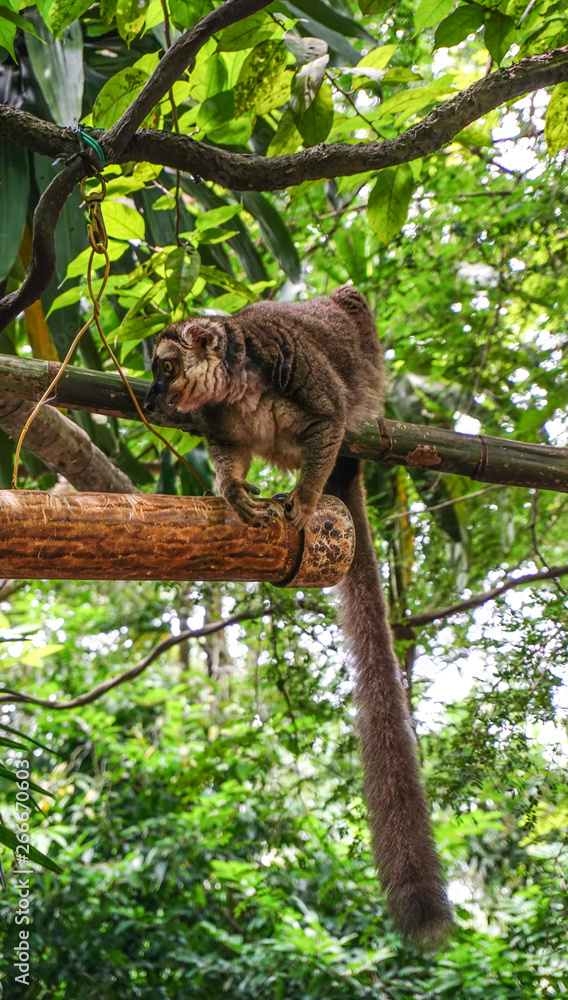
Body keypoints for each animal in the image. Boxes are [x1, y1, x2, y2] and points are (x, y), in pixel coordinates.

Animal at [144, 286, 454, 946]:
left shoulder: (298, 371)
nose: (152, 401)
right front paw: (234, 495)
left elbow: (328, 420)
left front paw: (307, 503)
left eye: (165, 368)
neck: (237, 389)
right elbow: (228, 456)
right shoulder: (218, 425)